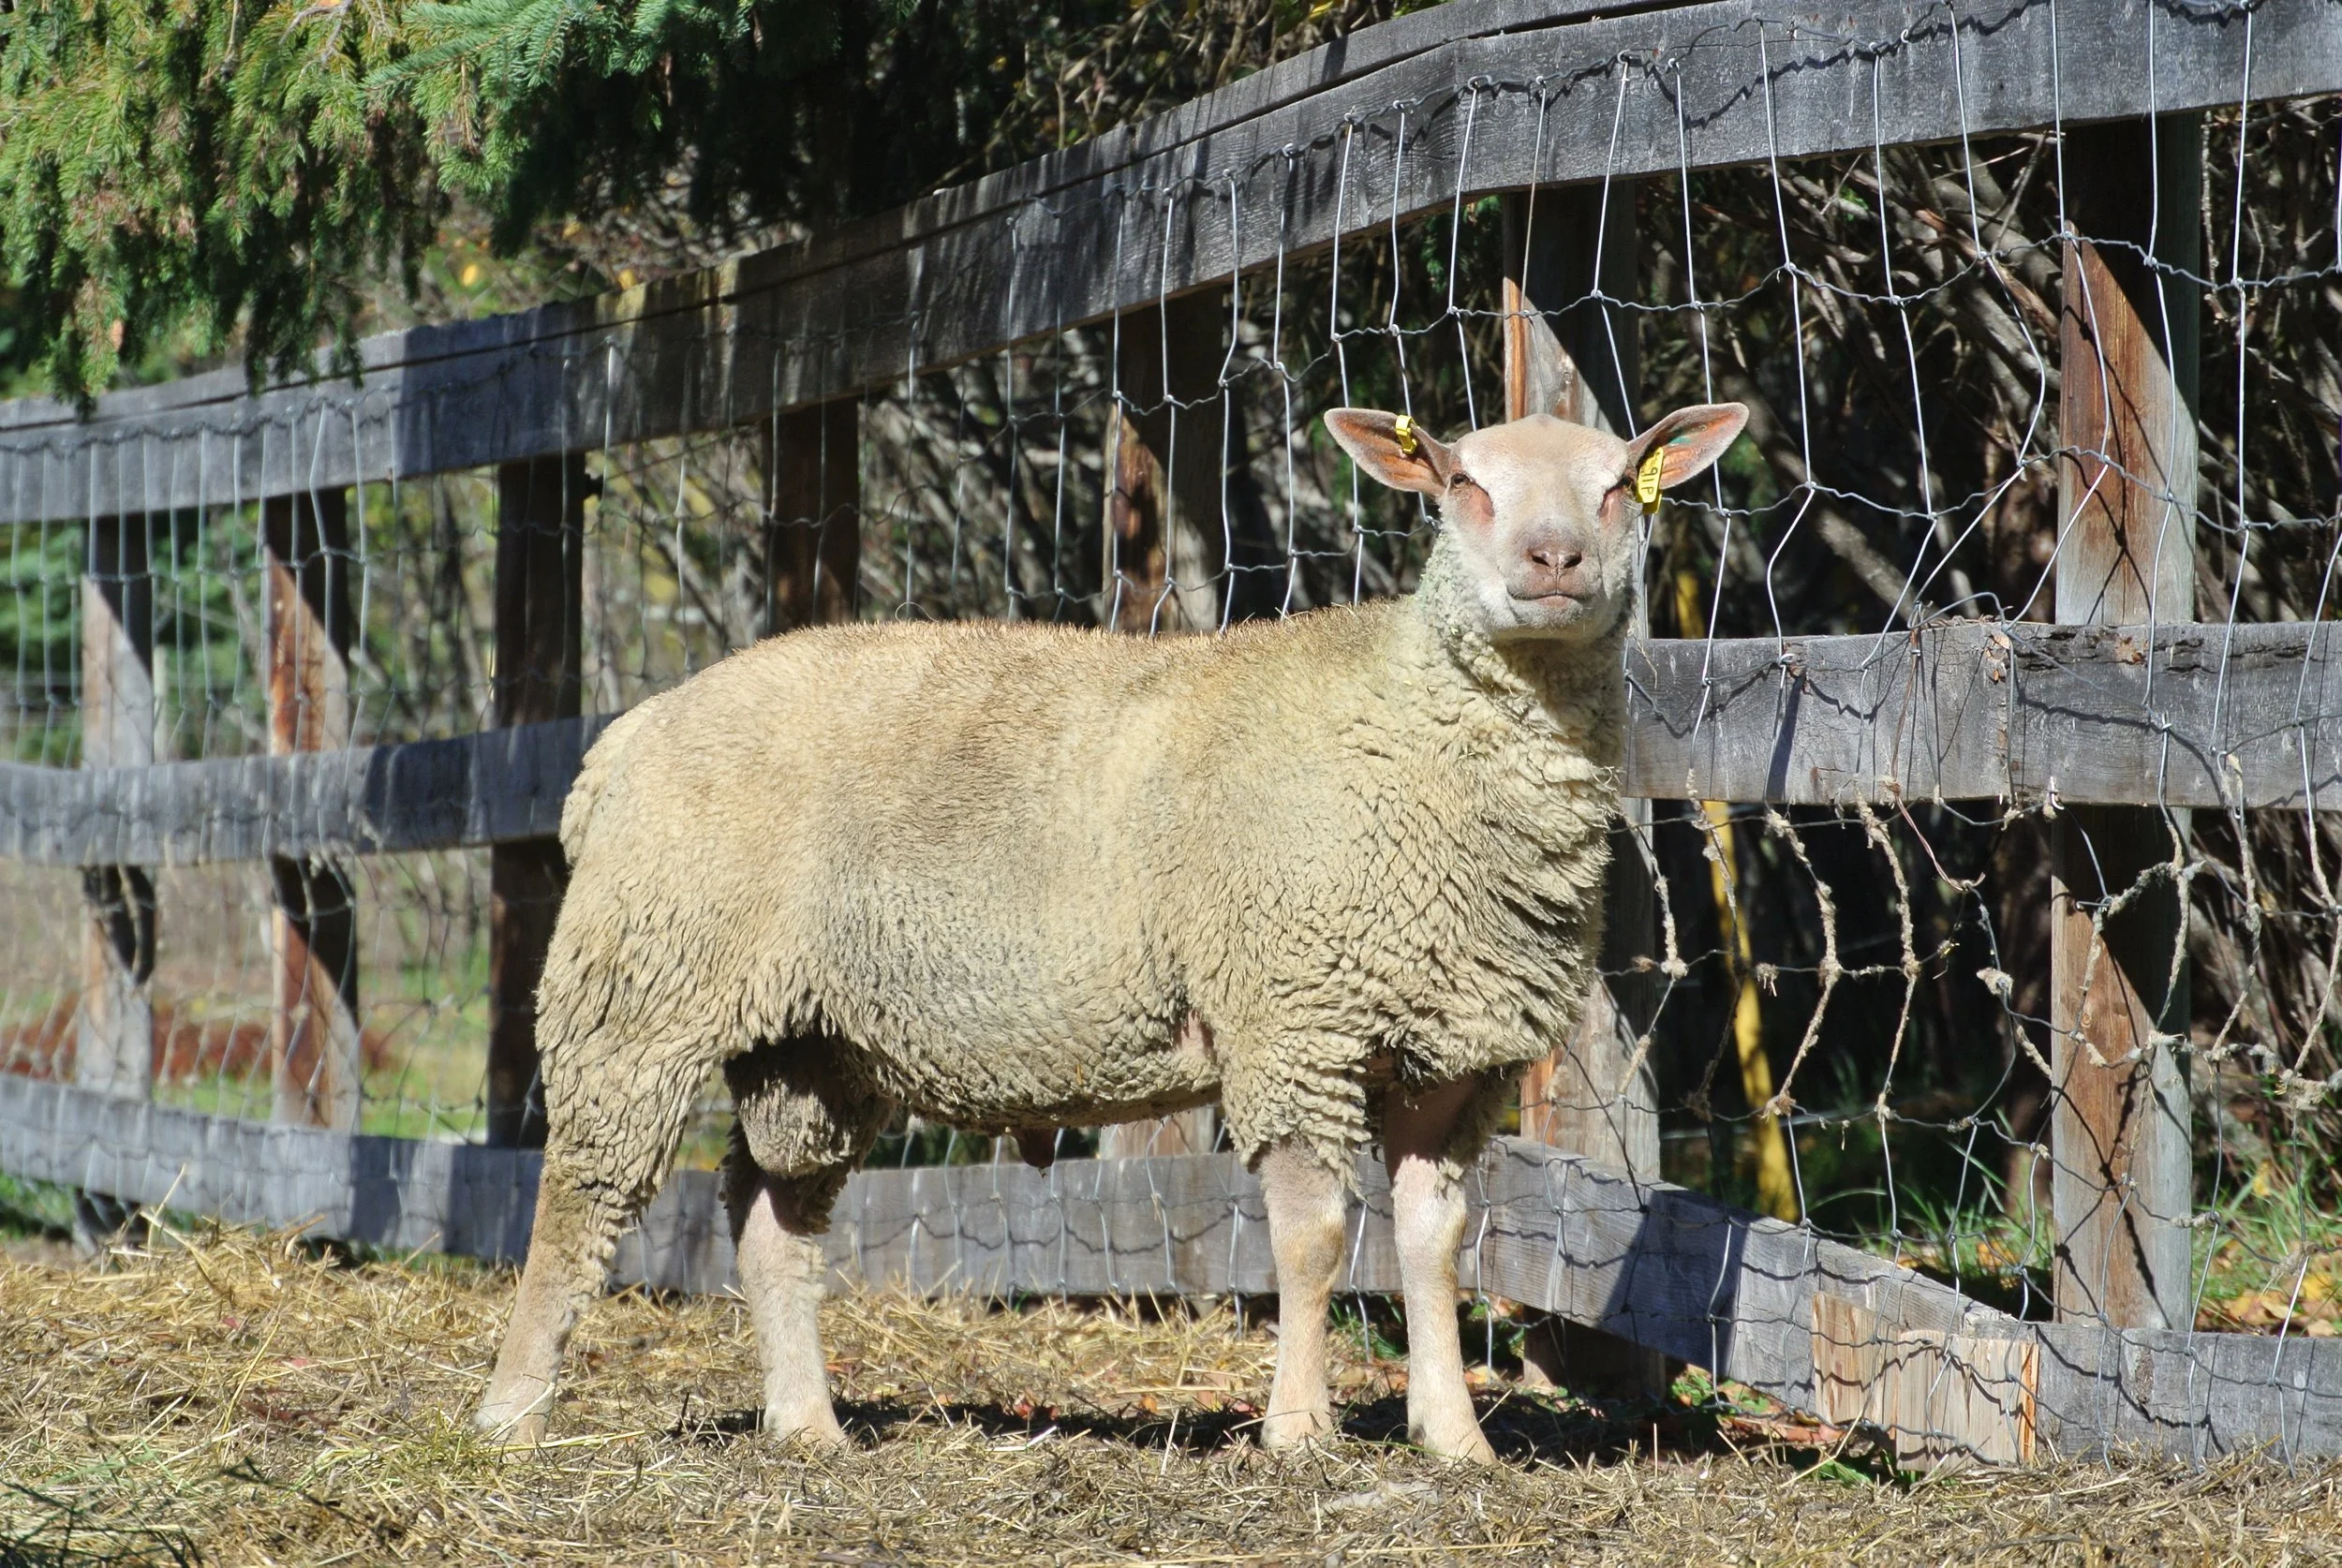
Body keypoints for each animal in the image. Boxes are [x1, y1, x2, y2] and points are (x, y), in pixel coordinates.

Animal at [474, 398, 1749, 1462]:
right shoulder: (1292, 1016)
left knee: (768, 1217)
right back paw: (511, 1415)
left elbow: (1435, 1240)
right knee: (579, 1195)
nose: (1554, 562)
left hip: (814, 1041)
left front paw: (1454, 1443)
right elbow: (1314, 1238)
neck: (1406, 729)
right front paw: (1298, 1435)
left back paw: (807, 1429)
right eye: (1461, 484)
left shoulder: (1450, 1053)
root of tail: (621, 742)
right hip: (645, 984)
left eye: (1621, 487)